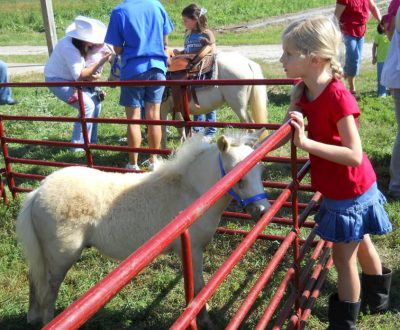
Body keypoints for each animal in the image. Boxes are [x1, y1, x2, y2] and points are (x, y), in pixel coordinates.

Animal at [16, 131, 272, 328]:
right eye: (238, 176)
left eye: (260, 172)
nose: (262, 210)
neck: (190, 192)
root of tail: (38, 191)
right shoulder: (193, 250)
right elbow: (199, 288)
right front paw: (205, 321)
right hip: (61, 256)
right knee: (49, 290)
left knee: (34, 278)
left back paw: (31, 318)